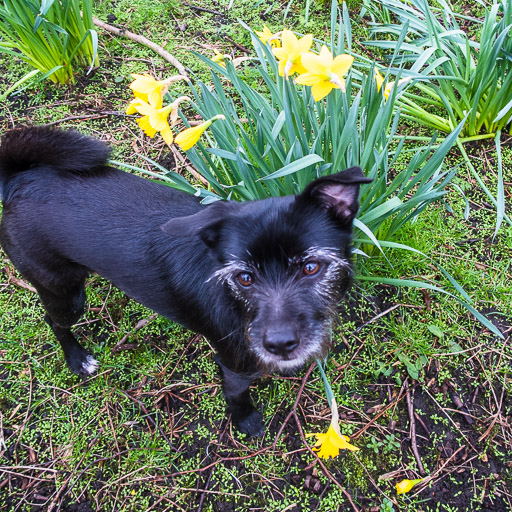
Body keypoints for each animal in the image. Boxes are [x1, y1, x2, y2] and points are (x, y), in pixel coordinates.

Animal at [0, 126, 370, 434]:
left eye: (310, 267)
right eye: (245, 277)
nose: (279, 344)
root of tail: (21, 180)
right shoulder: (233, 366)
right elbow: (237, 396)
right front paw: (246, 422)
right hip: (64, 291)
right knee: (54, 320)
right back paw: (78, 359)